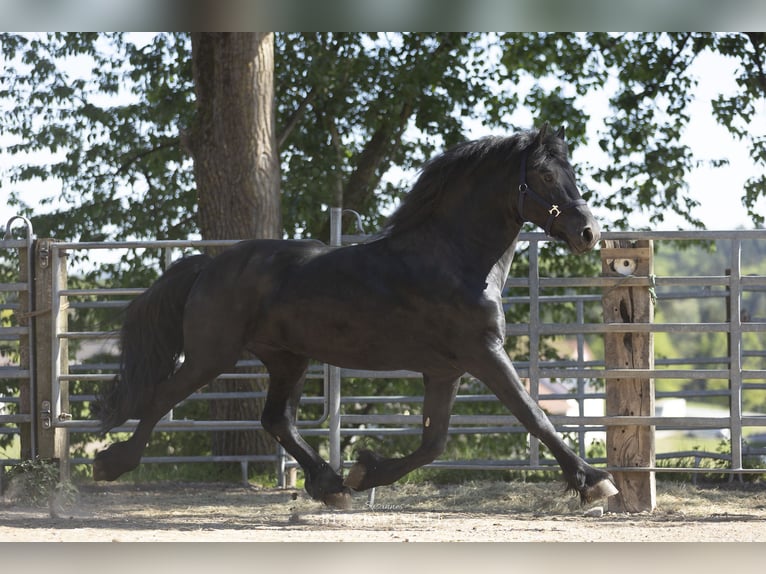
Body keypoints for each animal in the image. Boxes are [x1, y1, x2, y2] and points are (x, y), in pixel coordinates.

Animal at [93, 123, 618, 507]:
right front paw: (593, 480)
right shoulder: (484, 354)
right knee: (161, 397)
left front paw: (365, 471)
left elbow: (434, 443)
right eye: (545, 175)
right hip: (212, 355)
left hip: (287, 358)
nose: (588, 232)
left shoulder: (445, 370)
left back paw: (330, 485)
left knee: (276, 420)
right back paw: (110, 463)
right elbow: (534, 415)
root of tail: (208, 265)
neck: (454, 259)